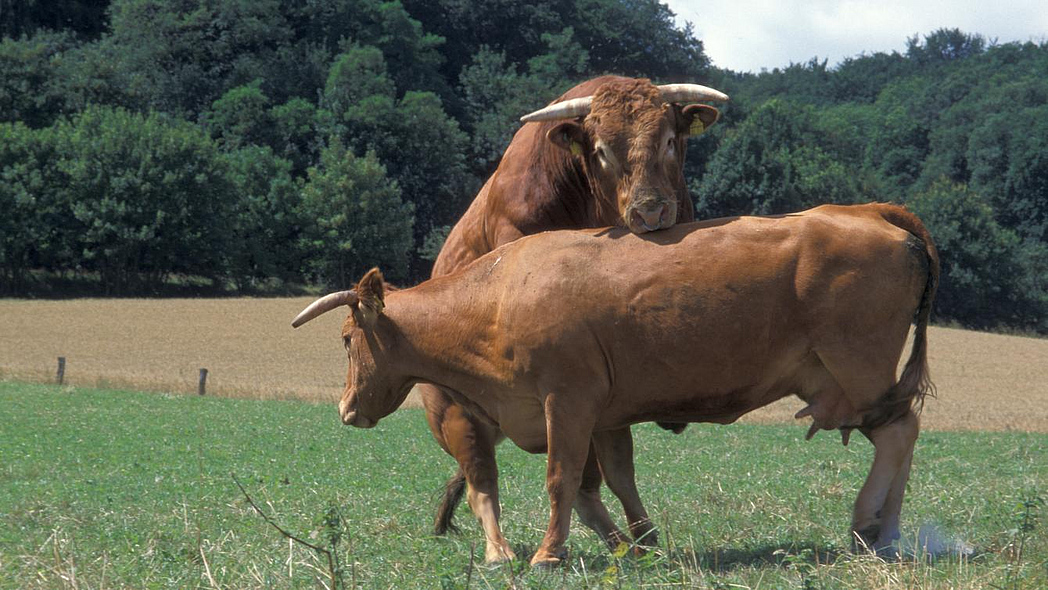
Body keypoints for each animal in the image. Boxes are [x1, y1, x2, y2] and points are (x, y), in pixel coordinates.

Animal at [295, 203, 943, 565]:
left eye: (346, 339)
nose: (346, 409)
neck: (497, 298)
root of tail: (868, 211)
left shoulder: (567, 400)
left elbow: (561, 479)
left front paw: (547, 555)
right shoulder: (603, 415)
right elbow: (611, 482)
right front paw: (640, 542)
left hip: (858, 366)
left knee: (898, 432)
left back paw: (872, 526)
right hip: (833, 379)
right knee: (900, 433)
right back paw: (884, 532)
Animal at [421, 75, 725, 561]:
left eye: (669, 139)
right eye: (601, 150)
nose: (651, 211)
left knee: (596, 481)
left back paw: (631, 541)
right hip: (460, 420)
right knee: (484, 486)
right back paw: (502, 552)